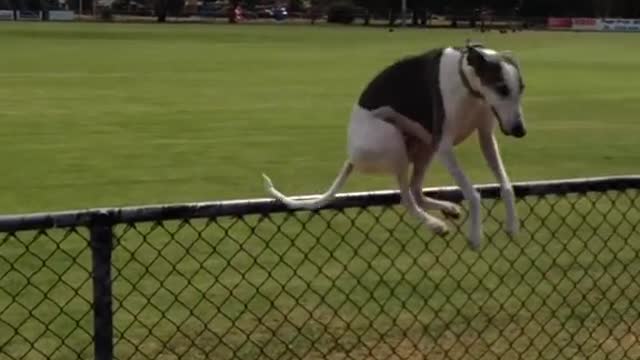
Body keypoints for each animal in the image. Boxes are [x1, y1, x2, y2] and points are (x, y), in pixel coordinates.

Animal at [262, 41, 528, 250]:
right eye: (502, 88)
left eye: (521, 89)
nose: (520, 131)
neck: (466, 80)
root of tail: (351, 156)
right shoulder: (444, 146)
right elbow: (472, 193)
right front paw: (475, 236)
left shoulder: (486, 138)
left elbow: (506, 186)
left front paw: (512, 225)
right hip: (394, 141)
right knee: (406, 198)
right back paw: (434, 224)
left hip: (423, 147)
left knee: (416, 190)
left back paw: (446, 209)